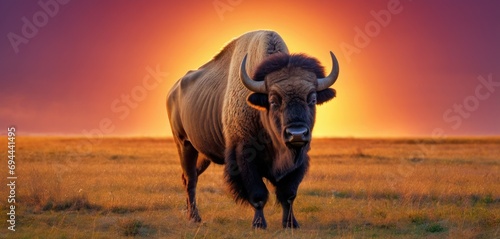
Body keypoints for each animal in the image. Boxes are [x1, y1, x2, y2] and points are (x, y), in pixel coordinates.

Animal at [168, 29, 340, 228]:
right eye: (273, 100)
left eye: (312, 98)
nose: (296, 134)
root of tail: (172, 91)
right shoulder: (244, 157)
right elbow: (258, 194)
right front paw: (259, 224)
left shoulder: (298, 159)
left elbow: (288, 194)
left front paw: (291, 224)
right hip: (184, 144)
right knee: (190, 179)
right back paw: (195, 217)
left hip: (203, 154)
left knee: (189, 176)